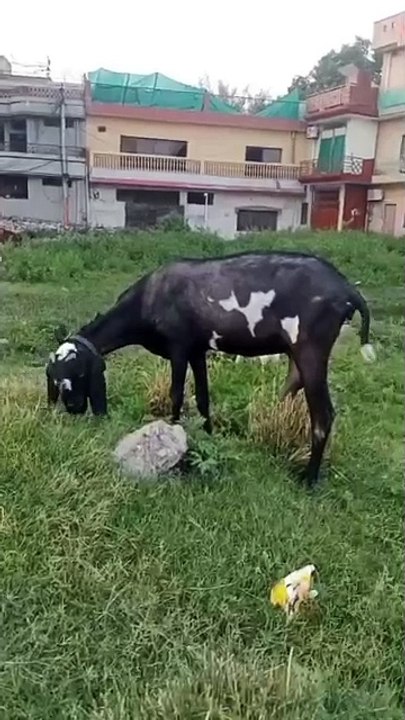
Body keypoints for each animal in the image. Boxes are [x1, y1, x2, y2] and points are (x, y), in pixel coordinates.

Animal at [46, 250, 375, 487]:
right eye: (55, 381)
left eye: (76, 374)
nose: (74, 408)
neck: (149, 297)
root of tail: (347, 289)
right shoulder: (197, 351)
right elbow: (203, 398)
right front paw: (207, 435)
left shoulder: (179, 348)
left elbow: (177, 395)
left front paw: (173, 436)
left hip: (311, 350)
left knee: (323, 416)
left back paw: (308, 480)